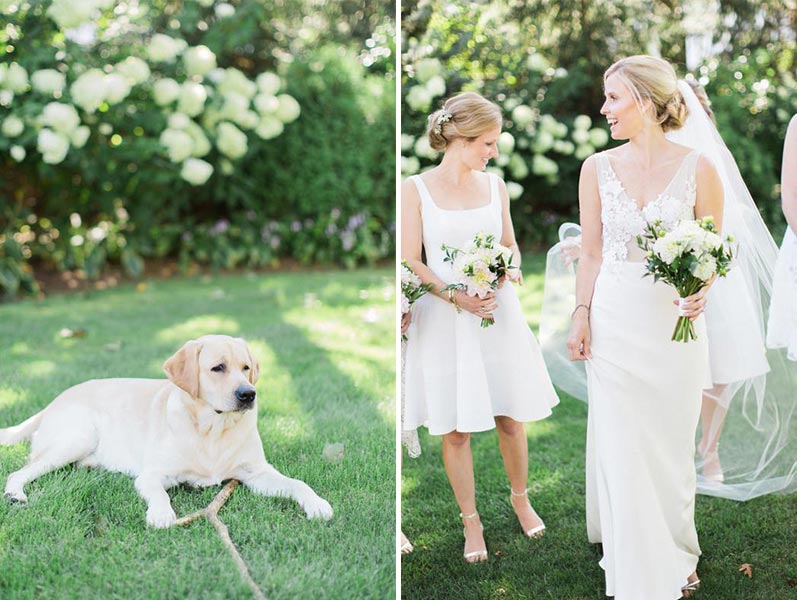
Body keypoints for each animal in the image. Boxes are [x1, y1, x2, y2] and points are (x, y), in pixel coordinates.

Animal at [0, 336, 332, 528]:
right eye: (218, 368)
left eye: (246, 367)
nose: (248, 394)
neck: (211, 430)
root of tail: (55, 400)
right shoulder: (152, 475)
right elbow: (160, 494)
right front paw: (161, 514)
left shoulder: (257, 473)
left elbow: (298, 483)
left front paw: (317, 503)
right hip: (76, 438)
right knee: (19, 471)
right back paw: (15, 493)